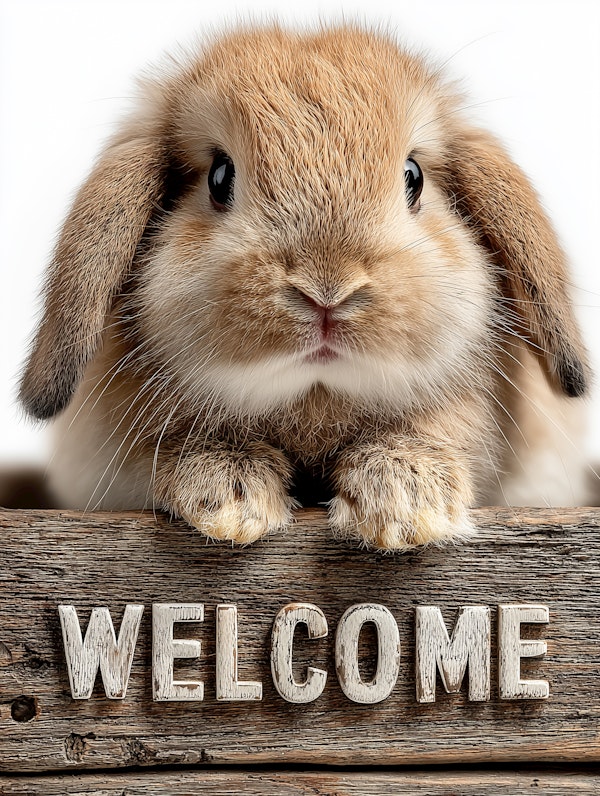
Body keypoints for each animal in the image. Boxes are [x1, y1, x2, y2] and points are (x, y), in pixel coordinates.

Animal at [19, 23, 591, 550]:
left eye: (414, 177)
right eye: (220, 177)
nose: (326, 290)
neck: (315, 401)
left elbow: (442, 428)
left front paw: (403, 508)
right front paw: (232, 503)